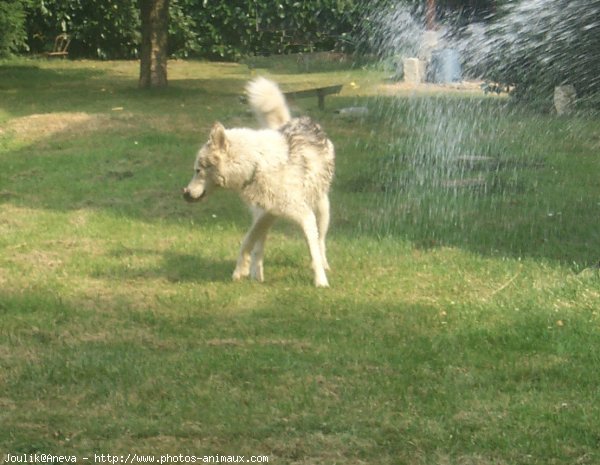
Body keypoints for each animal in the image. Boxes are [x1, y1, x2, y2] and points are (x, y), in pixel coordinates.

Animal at [180, 77, 336, 286]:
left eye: (198, 171)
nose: (185, 193)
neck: (257, 164)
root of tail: (297, 120)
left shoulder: (304, 216)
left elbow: (314, 252)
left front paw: (321, 282)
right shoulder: (267, 213)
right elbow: (247, 241)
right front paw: (240, 271)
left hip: (322, 209)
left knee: (321, 242)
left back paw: (324, 264)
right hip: (263, 215)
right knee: (259, 246)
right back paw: (256, 274)